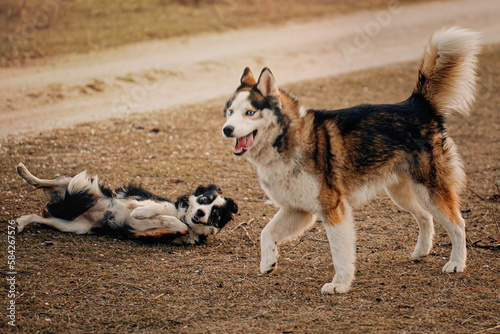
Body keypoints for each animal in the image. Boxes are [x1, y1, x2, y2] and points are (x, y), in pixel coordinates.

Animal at [15, 163, 238, 244]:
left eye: (215, 213)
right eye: (204, 200)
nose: (200, 213)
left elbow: (180, 227)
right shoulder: (148, 199)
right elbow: (158, 208)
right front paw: (141, 213)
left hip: (72, 226)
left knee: (38, 216)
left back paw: (20, 223)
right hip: (85, 186)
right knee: (46, 182)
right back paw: (24, 172)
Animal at [222, 27, 480, 294]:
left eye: (250, 113)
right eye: (230, 112)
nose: (226, 129)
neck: (287, 140)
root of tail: (417, 105)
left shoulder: (333, 209)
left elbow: (340, 254)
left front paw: (340, 284)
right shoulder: (298, 209)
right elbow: (266, 232)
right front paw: (268, 261)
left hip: (430, 190)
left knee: (458, 224)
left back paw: (456, 263)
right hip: (402, 193)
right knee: (425, 217)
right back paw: (421, 252)